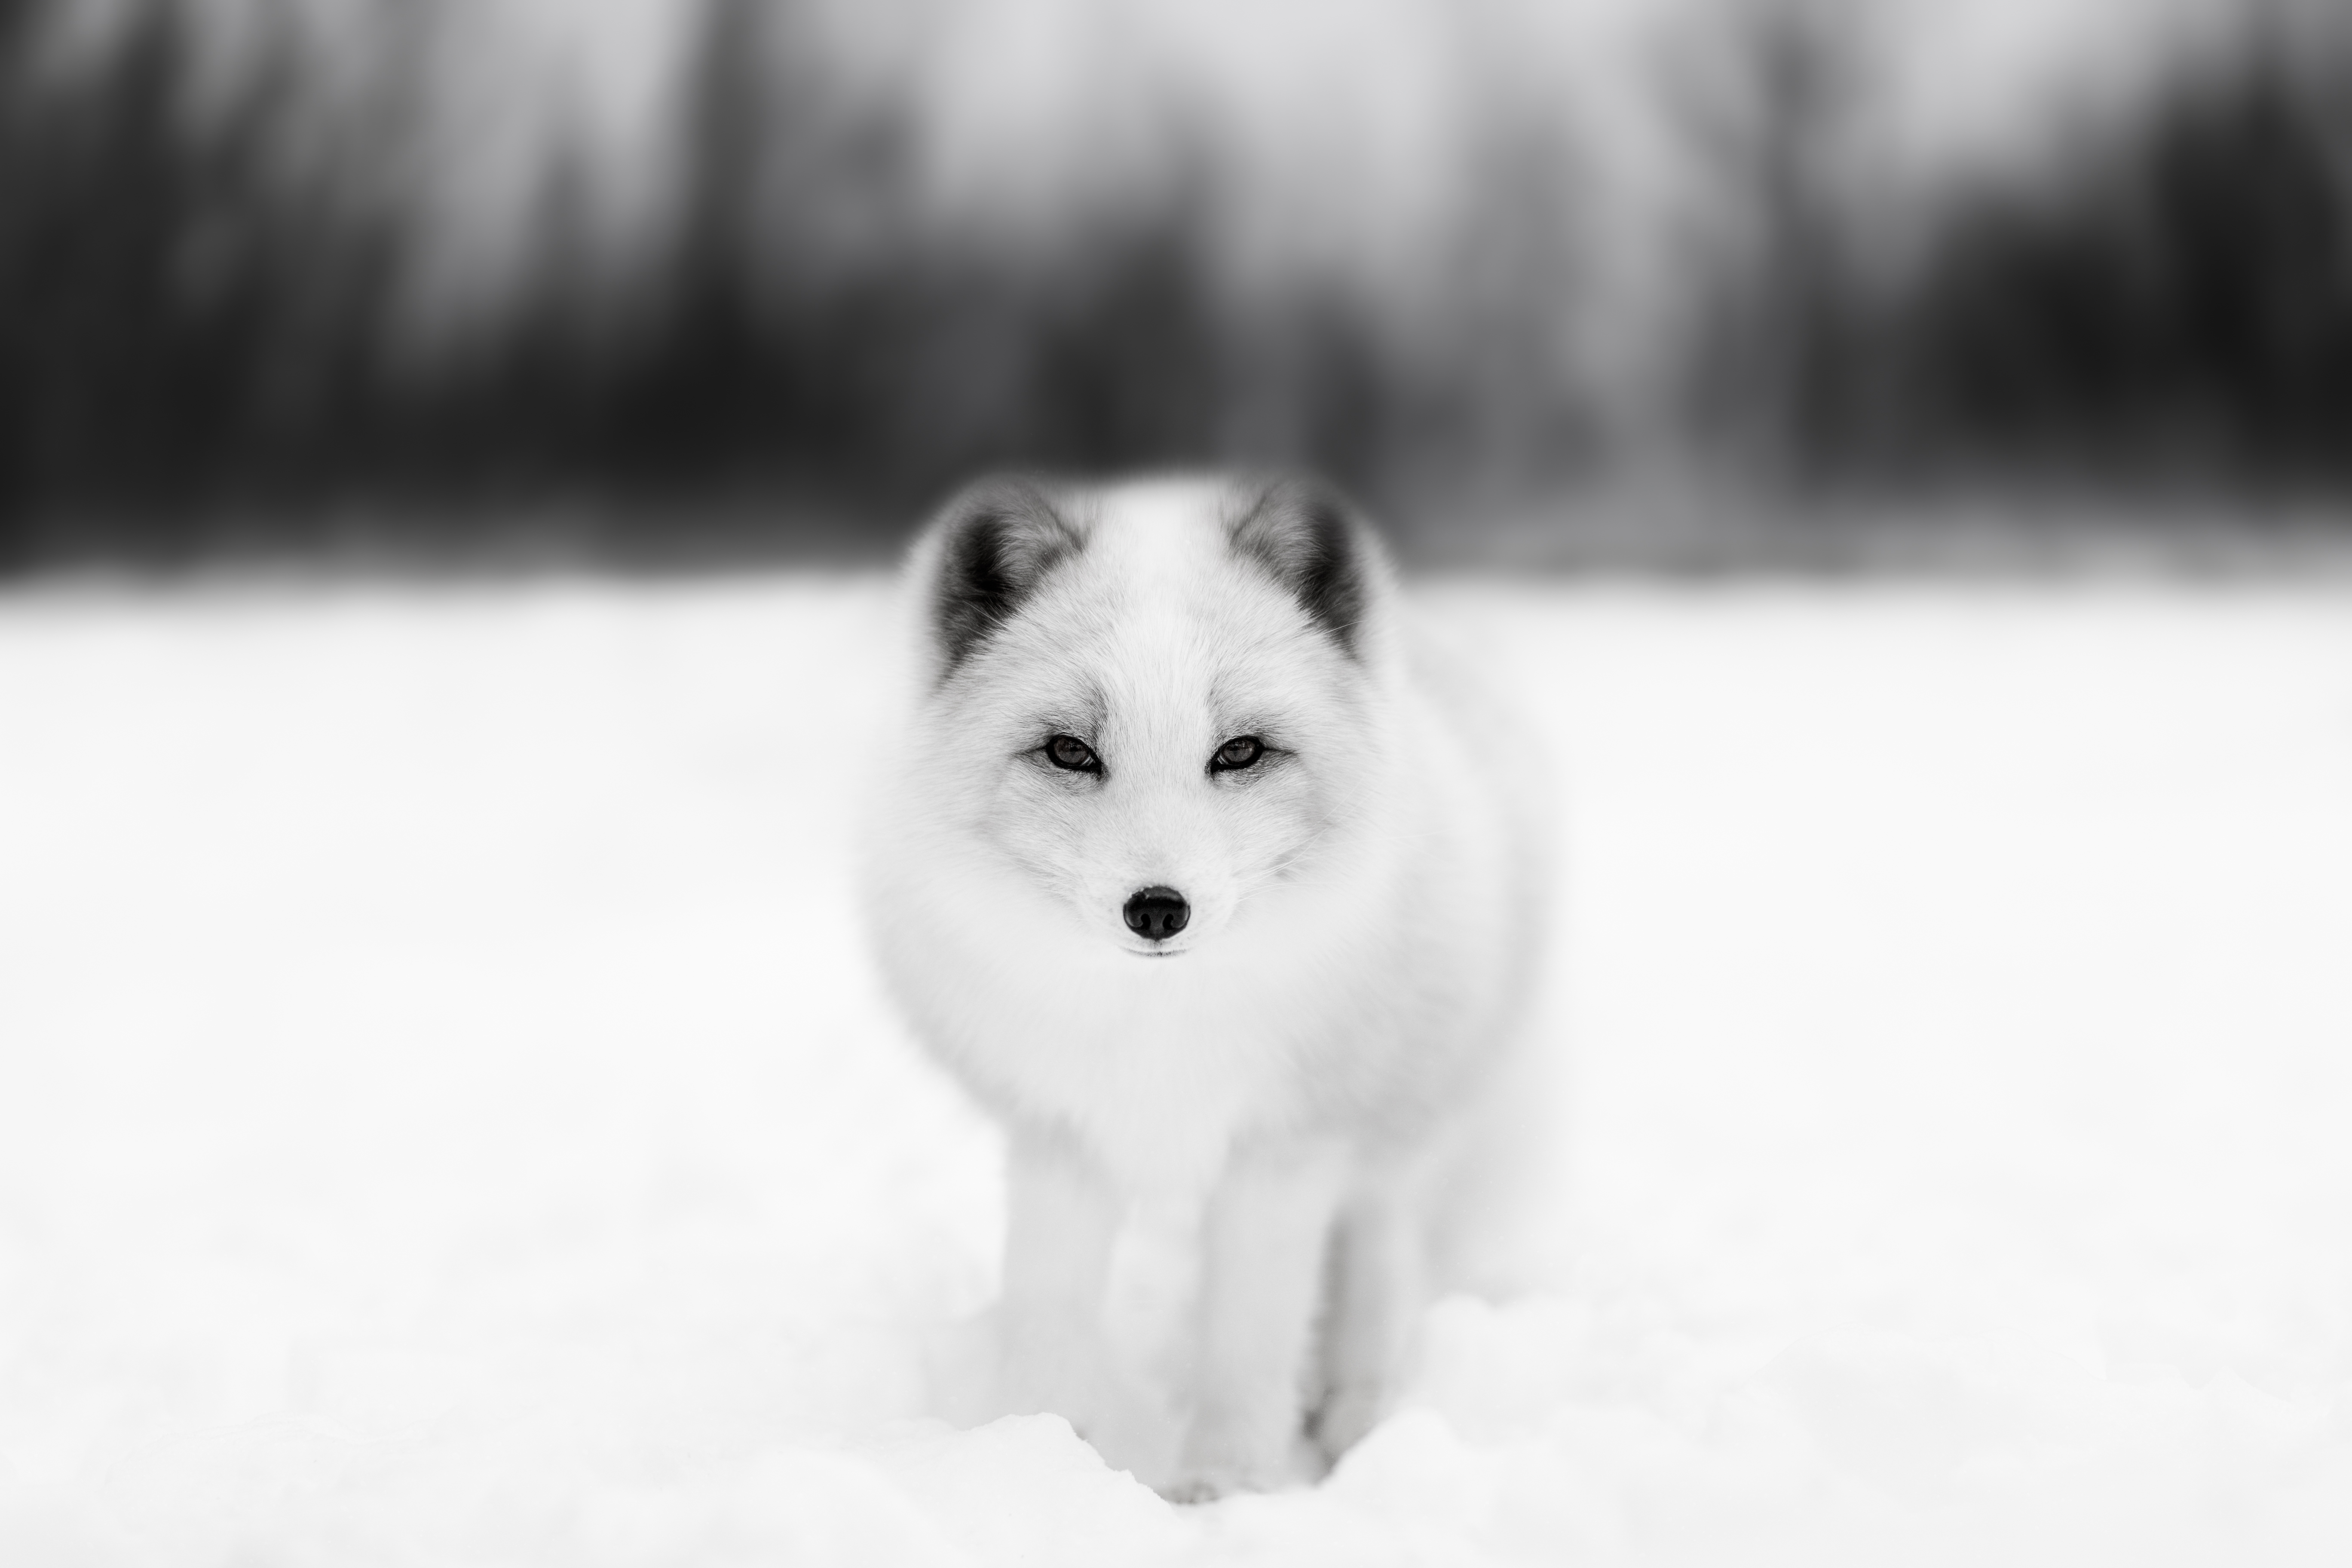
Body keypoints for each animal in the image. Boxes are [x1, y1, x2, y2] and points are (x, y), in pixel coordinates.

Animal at [863, 472, 1551, 1500]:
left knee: (1380, 1254)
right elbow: (1047, 1318)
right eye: (1070, 752)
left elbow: (1248, 1341)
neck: (1159, 1035)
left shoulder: (1282, 1154)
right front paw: (1034, 1461)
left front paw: (1224, 1488)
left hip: (1395, 1123)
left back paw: (1356, 1418)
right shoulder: (1061, 1136)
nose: (1158, 910)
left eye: (1239, 752)